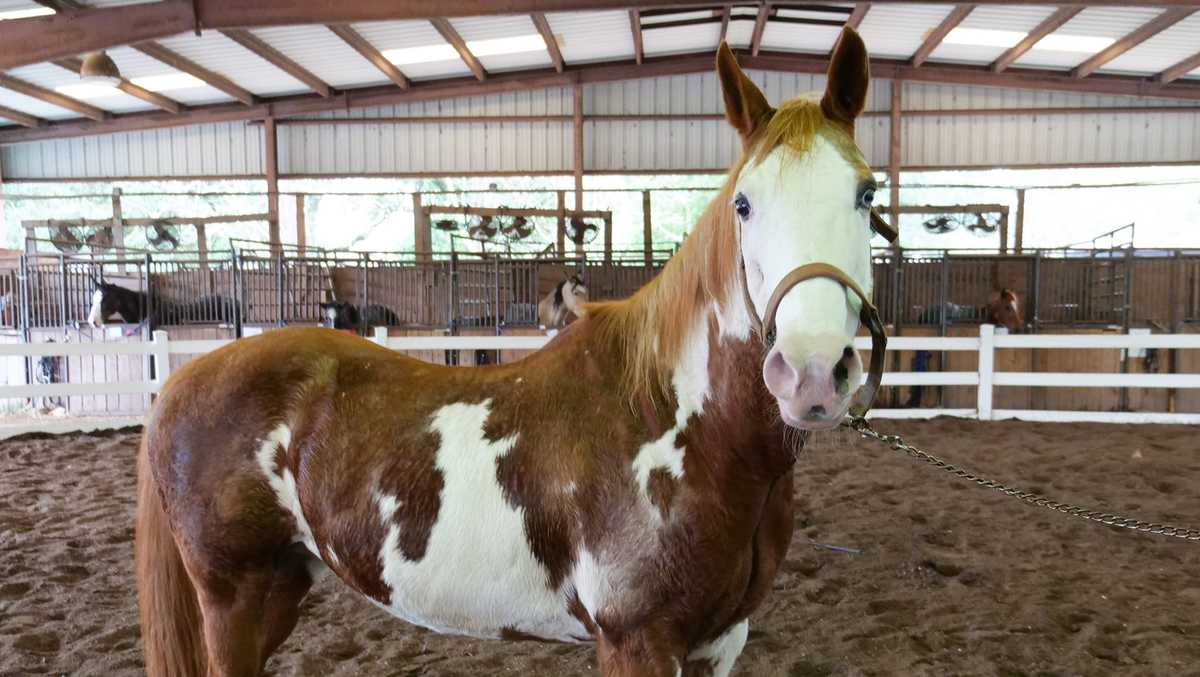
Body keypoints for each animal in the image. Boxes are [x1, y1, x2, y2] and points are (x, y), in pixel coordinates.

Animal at [136, 30, 892, 677]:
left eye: (866, 193)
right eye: (743, 203)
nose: (812, 371)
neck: (681, 426)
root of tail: (184, 379)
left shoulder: (719, 643)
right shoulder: (637, 640)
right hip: (235, 600)